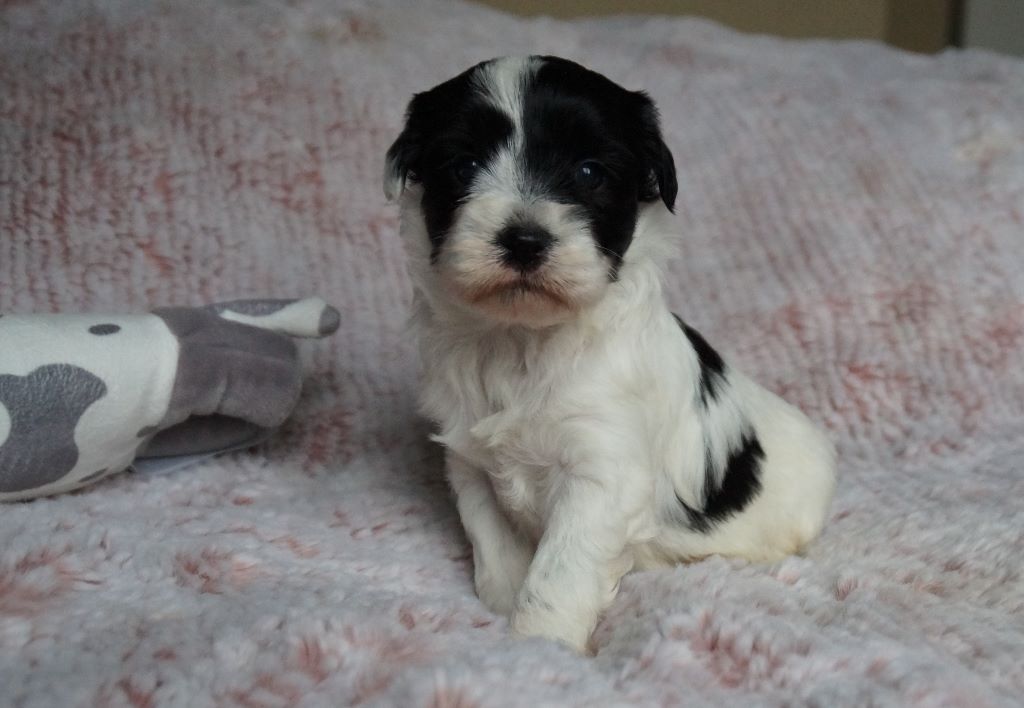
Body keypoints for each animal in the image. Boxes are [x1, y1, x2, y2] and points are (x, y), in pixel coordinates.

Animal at [384, 56, 837, 653]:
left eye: (589, 173)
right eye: (464, 166)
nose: (524, 240)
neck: (523, 341)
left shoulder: (602, 473)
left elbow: (558, 574)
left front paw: (541, 647)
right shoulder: (471, 464)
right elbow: (497, 550)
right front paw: (503, 628)